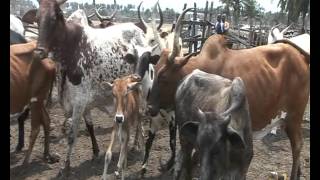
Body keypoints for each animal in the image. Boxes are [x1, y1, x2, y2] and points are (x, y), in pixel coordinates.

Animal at [28, 0, 158, 176]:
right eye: (37, 18)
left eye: (55, 17)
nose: (39, 52)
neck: (71, 50)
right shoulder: (83, 102)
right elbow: (89, 126)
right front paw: (95, 152)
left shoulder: (79, 101)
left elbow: (71, 135)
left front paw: (66, 166)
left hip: (144, 89)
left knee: (140, 115)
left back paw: (136, 145)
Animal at [141, 7, 310, 180]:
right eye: (155, 70)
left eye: (163, 76)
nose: (149, 108)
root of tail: (300, 56)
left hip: (294, 116)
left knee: (297, 146)